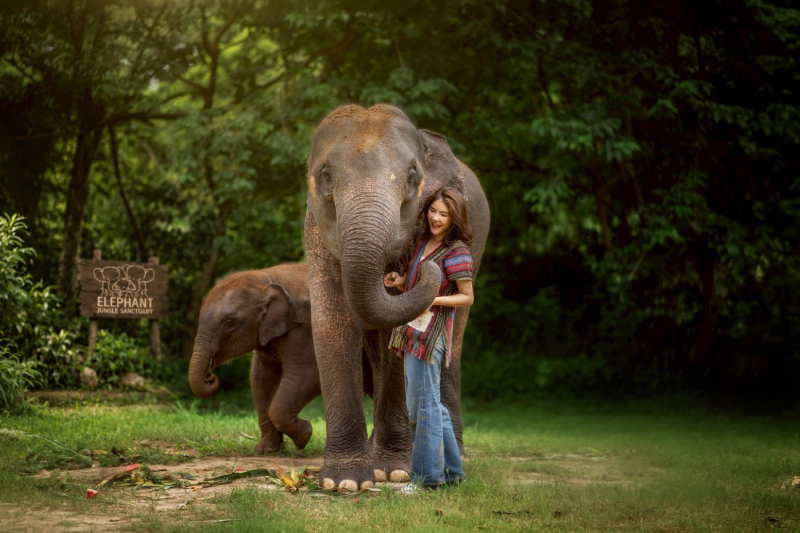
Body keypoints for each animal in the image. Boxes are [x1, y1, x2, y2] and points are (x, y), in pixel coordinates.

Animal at [187, 263, 356, 453]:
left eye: (229, 323)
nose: (209, 376)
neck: (265, 279)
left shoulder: (307, 327)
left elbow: (310, 374)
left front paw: (305, 435)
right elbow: (260, 380)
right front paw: (265, 450)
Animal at [304, 104, 490, 491]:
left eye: (411, 178)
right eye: (325, 176)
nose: (432, 268)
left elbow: (398, 336)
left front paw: (394, 471)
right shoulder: (314, 227)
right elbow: (332, 324)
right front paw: (344, 482)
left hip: (477, 246)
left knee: (454, 341)